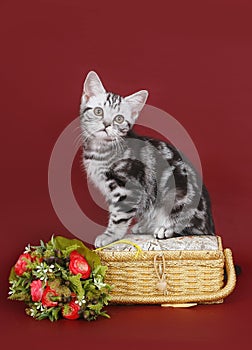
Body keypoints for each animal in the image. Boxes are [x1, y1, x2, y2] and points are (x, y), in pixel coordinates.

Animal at [80, 71, 215, 247]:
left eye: (118, 119)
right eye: (98, 111)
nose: (106, 124)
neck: (100, 149)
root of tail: (210, 223)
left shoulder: (127, 188)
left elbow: (118, 216)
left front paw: (110, 235)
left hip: (178, 195)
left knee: (196, 229)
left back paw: (166, 229)